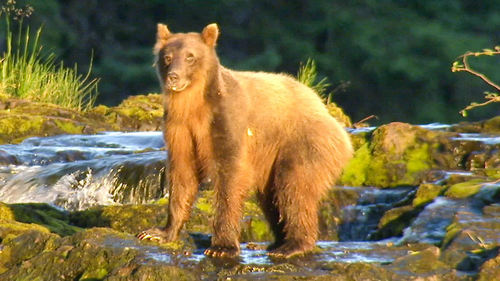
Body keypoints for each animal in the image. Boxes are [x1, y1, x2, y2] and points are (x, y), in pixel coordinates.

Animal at [137, 23, 354, 258]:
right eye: (167, 57)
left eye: (190, 57)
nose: (174, 77)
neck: (193, 105)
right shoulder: (180, 128)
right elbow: (183, 174)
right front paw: (158, 232)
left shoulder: (227, 121)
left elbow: (230, 176)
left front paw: (221, 247)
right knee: (271, 197)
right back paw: (276, 242)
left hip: (301, 141)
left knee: (294, 187)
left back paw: (292, 245)